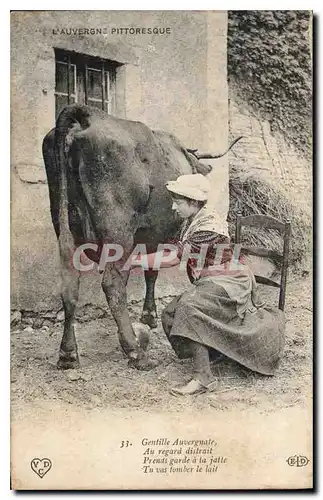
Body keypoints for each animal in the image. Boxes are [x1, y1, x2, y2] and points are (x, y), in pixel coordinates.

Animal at [42, 104, 240, 372]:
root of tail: (86, 116)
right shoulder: (159, 235)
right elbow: (152, 272)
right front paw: (149, 315)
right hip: (118, 230)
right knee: (113, 284)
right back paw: (135, 351)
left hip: (64, 226)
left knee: (70, 284)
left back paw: (68, 353)